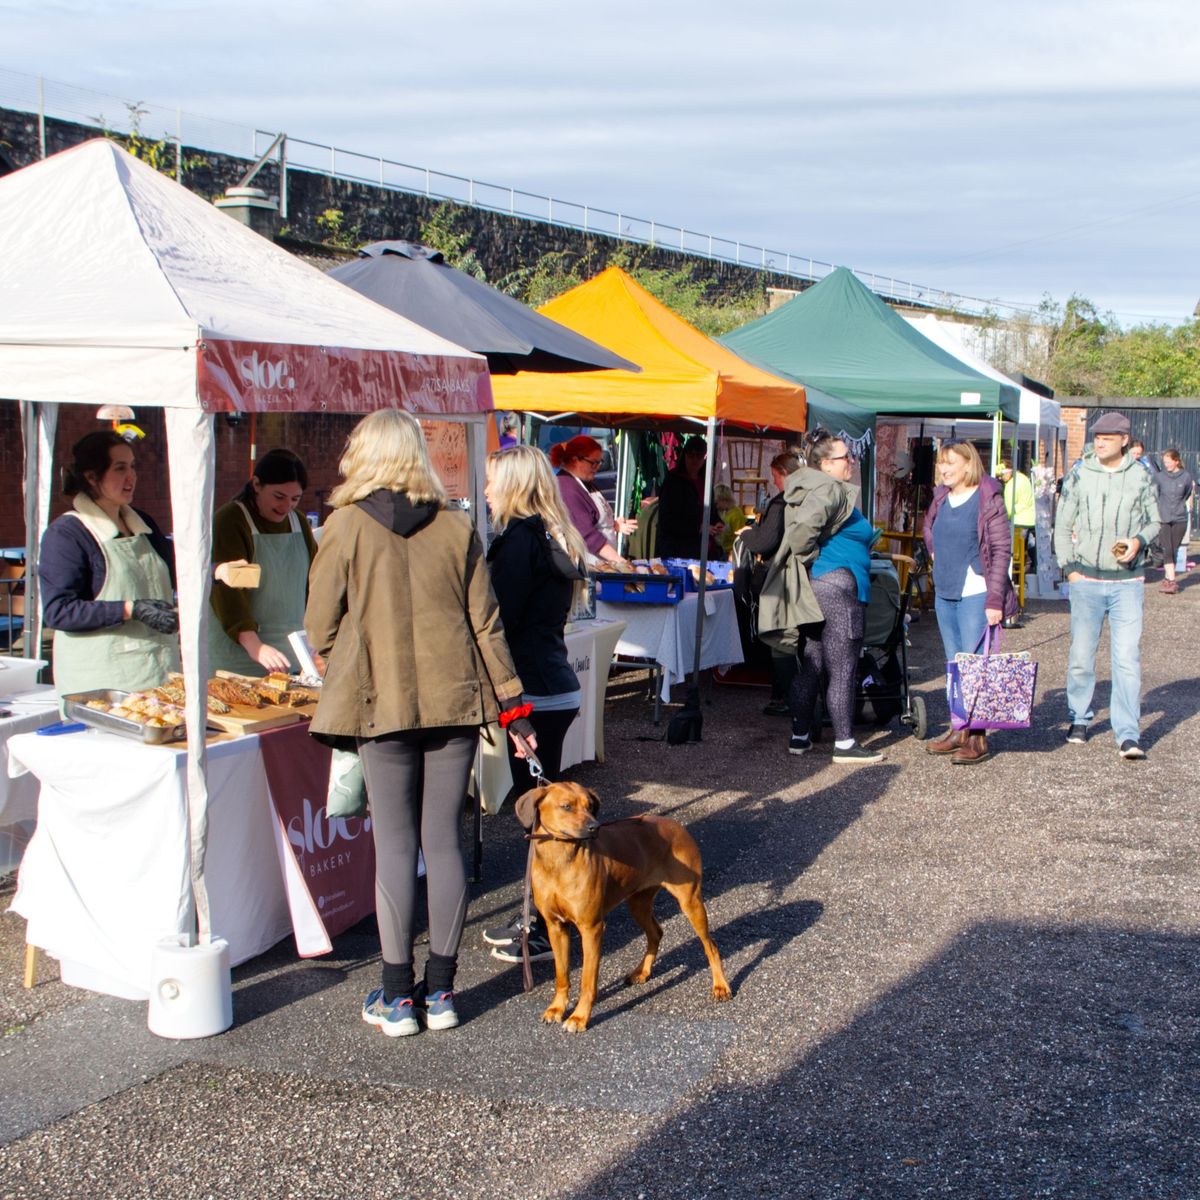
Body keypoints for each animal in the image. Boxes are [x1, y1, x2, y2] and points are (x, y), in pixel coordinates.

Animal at [513, 777, 729, 1032]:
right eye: (566, 806)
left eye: (590, 806)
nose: (594, 827)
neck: (559, 860)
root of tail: (677, 825)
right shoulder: (555, 926)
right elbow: (561, 974)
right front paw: (557, 1008)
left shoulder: (592, 928)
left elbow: (587, 979)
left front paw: (579, 1017)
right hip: (637, 903)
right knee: (656, 933)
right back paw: (642, 972)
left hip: (690, 901)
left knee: (710, 945)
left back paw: (720, 986)